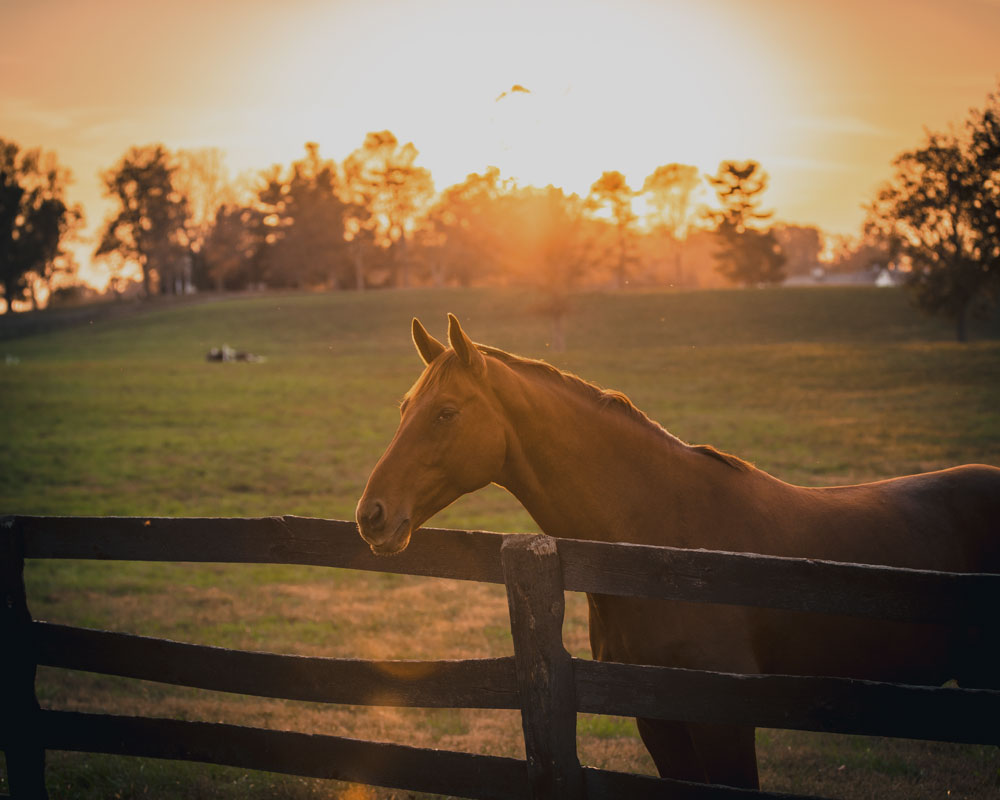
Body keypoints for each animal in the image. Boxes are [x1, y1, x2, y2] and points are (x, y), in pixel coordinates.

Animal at [356, 313, 1000, 789]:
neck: (667, 550)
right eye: (404, 408)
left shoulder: (723, 722)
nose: (371, 515)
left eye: (446, 413)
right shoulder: (656, 718)